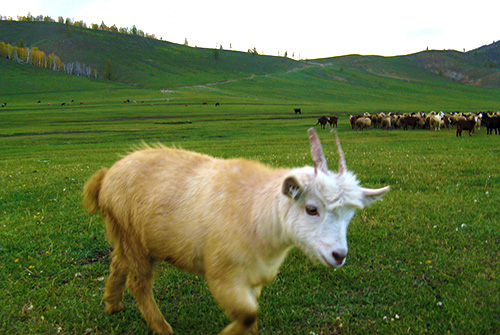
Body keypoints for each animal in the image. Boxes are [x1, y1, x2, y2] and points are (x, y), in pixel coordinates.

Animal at [84, 129, 390, 335]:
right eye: (311, 209)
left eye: (350, 215)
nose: (339, 255)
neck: (258, 212)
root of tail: (106, 176)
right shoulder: (223, 274)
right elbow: (247, 315)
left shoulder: (253, 278)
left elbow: (252, 314)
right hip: (133, 238)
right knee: (139, 282)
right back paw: (162, 327)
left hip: (125, 235)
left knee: (118, 264)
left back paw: (112, 304)